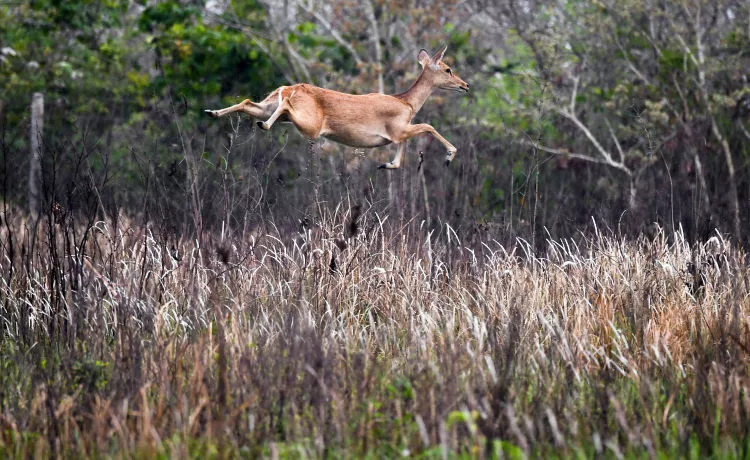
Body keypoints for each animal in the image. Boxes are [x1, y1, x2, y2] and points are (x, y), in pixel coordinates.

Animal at [204, 45, 470, 169]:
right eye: (448, 69)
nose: (466, 85)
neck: (407, 103)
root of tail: (290, 88)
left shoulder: (399, 133)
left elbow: (401, 155)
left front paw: (386, 165)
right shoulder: (398, 128)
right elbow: (428, 125)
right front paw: (449, 156)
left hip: (270, 105)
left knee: (249, 102)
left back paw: (213, 112)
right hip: (309, 123)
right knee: (285, 105)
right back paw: (263, 125)